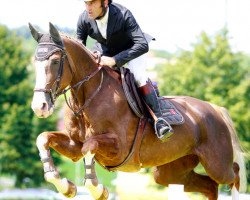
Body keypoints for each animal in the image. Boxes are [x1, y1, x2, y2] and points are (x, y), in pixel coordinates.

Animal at [28, 22, 245, 200]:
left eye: (55, 61)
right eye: (35, 62)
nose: (39, 107)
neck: (88, 97)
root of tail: (215, 109)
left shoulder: (119, 147)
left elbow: (89, 146)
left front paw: (99, 190)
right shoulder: (74, 145)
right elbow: (44, 138)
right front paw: (66, 186)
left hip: (216, 163)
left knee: (233, 174)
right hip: (171, 172)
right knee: (209, 187)